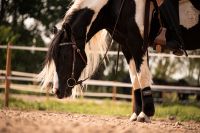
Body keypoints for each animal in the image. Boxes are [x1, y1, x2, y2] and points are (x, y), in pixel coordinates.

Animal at [38, 0, 199, 123]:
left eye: (64, 56)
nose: (56, 91)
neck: (116, 5)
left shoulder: (137, 44)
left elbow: (142, 75)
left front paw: (145, 114)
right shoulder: (126, 45)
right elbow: (135, 78)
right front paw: (136, 114)